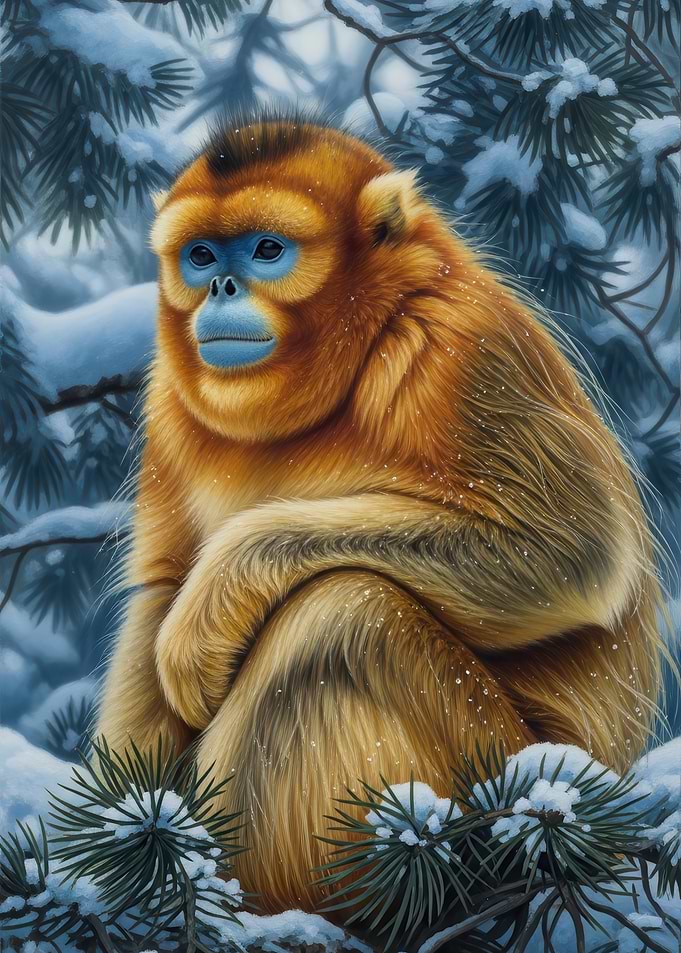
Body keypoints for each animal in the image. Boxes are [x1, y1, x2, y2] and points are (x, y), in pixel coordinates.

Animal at [96, 111, 664, 914]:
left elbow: (573, 555)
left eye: (267, 250)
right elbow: (160, 585)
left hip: (507, 767)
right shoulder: (170, 403)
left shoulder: (460, 348)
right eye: (201, 257)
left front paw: (212, 605)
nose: (222, 285)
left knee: (343, 614)